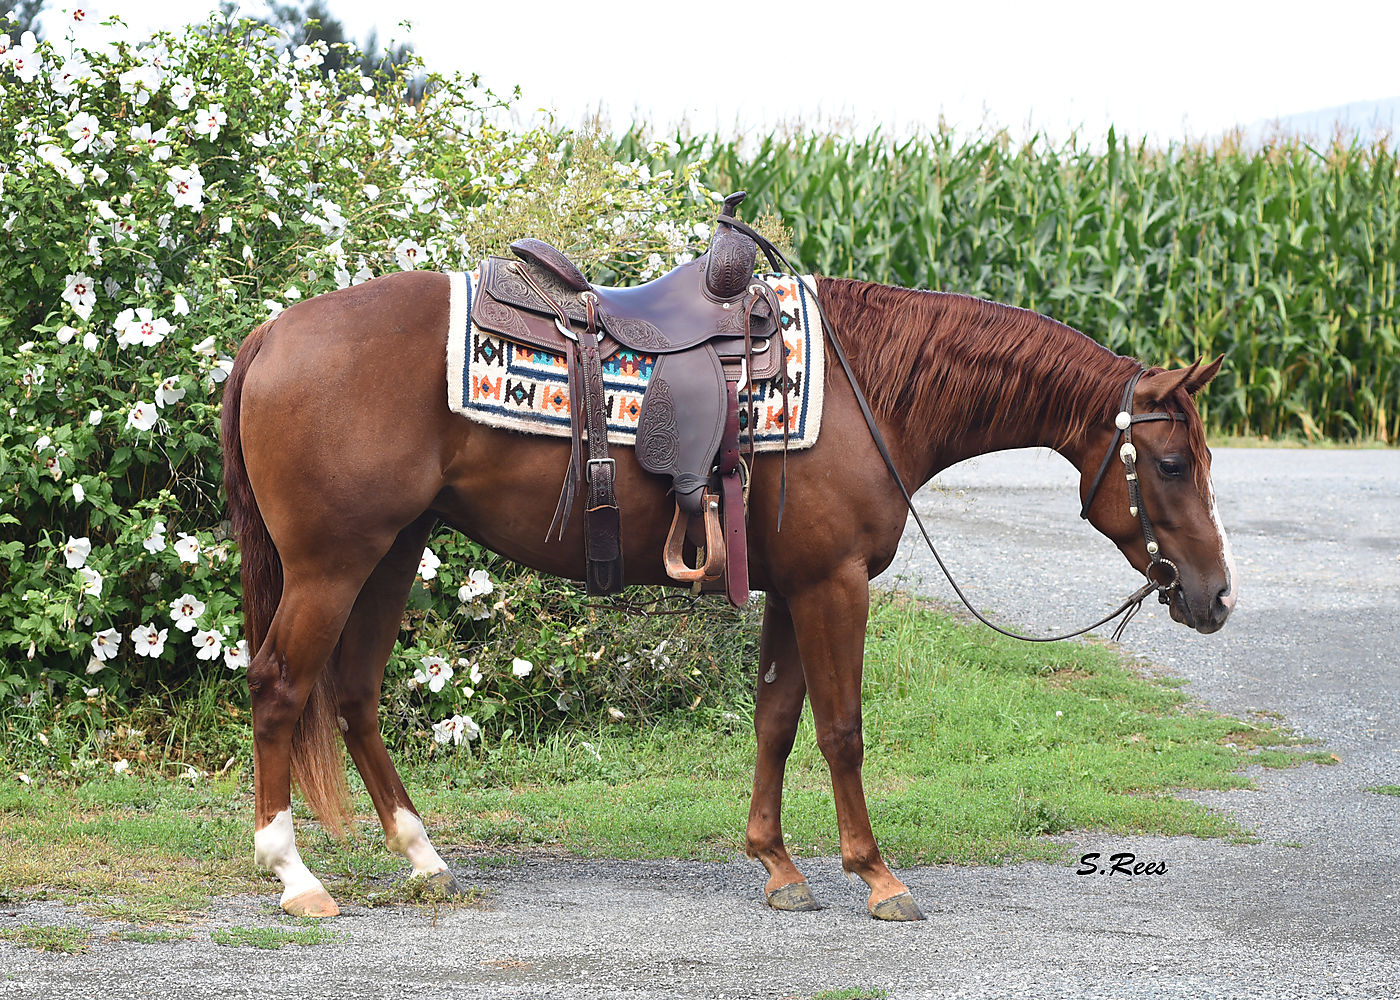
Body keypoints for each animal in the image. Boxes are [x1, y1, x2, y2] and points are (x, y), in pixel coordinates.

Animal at [220, 268, 1235, 921]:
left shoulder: (793, 587)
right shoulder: (834, 586)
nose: (1216, 597)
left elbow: (776, 722)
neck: (872, 391)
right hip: (332, 562)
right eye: (1172, 464)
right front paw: (877, 876)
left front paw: (778, 866)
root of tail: (274, 332)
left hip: (392, 550)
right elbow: (841, 729)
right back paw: (296, 877)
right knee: (278, 686)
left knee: (353, 692)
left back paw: (424, 858)